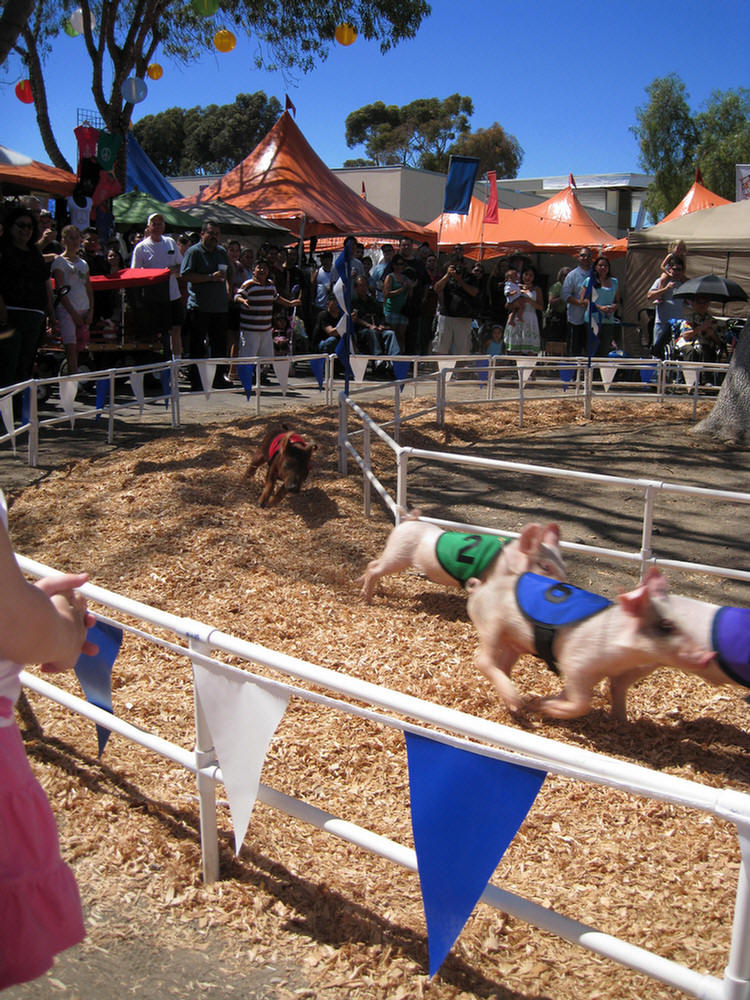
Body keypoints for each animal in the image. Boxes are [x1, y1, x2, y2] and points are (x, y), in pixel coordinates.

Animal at [358, 512, 564, 604]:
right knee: (374, 568)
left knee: (372, 563)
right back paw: (366, 599)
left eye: (562, 563)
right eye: (545, 566)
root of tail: (408, 521)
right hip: (398, 554)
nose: (563, 587)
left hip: (393, 553)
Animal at [468, 568, 720, 724]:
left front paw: (540, 702)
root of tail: (479, 588)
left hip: (514, 643)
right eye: (666, 625)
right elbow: (581, 703)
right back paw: (517, 701)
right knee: (481, 659)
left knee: (502, 664)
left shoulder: (597, 674)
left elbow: (573, 694)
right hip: (492, 625)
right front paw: (544, 709)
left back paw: (517, 707)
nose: (709, 654)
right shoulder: (575, 664)